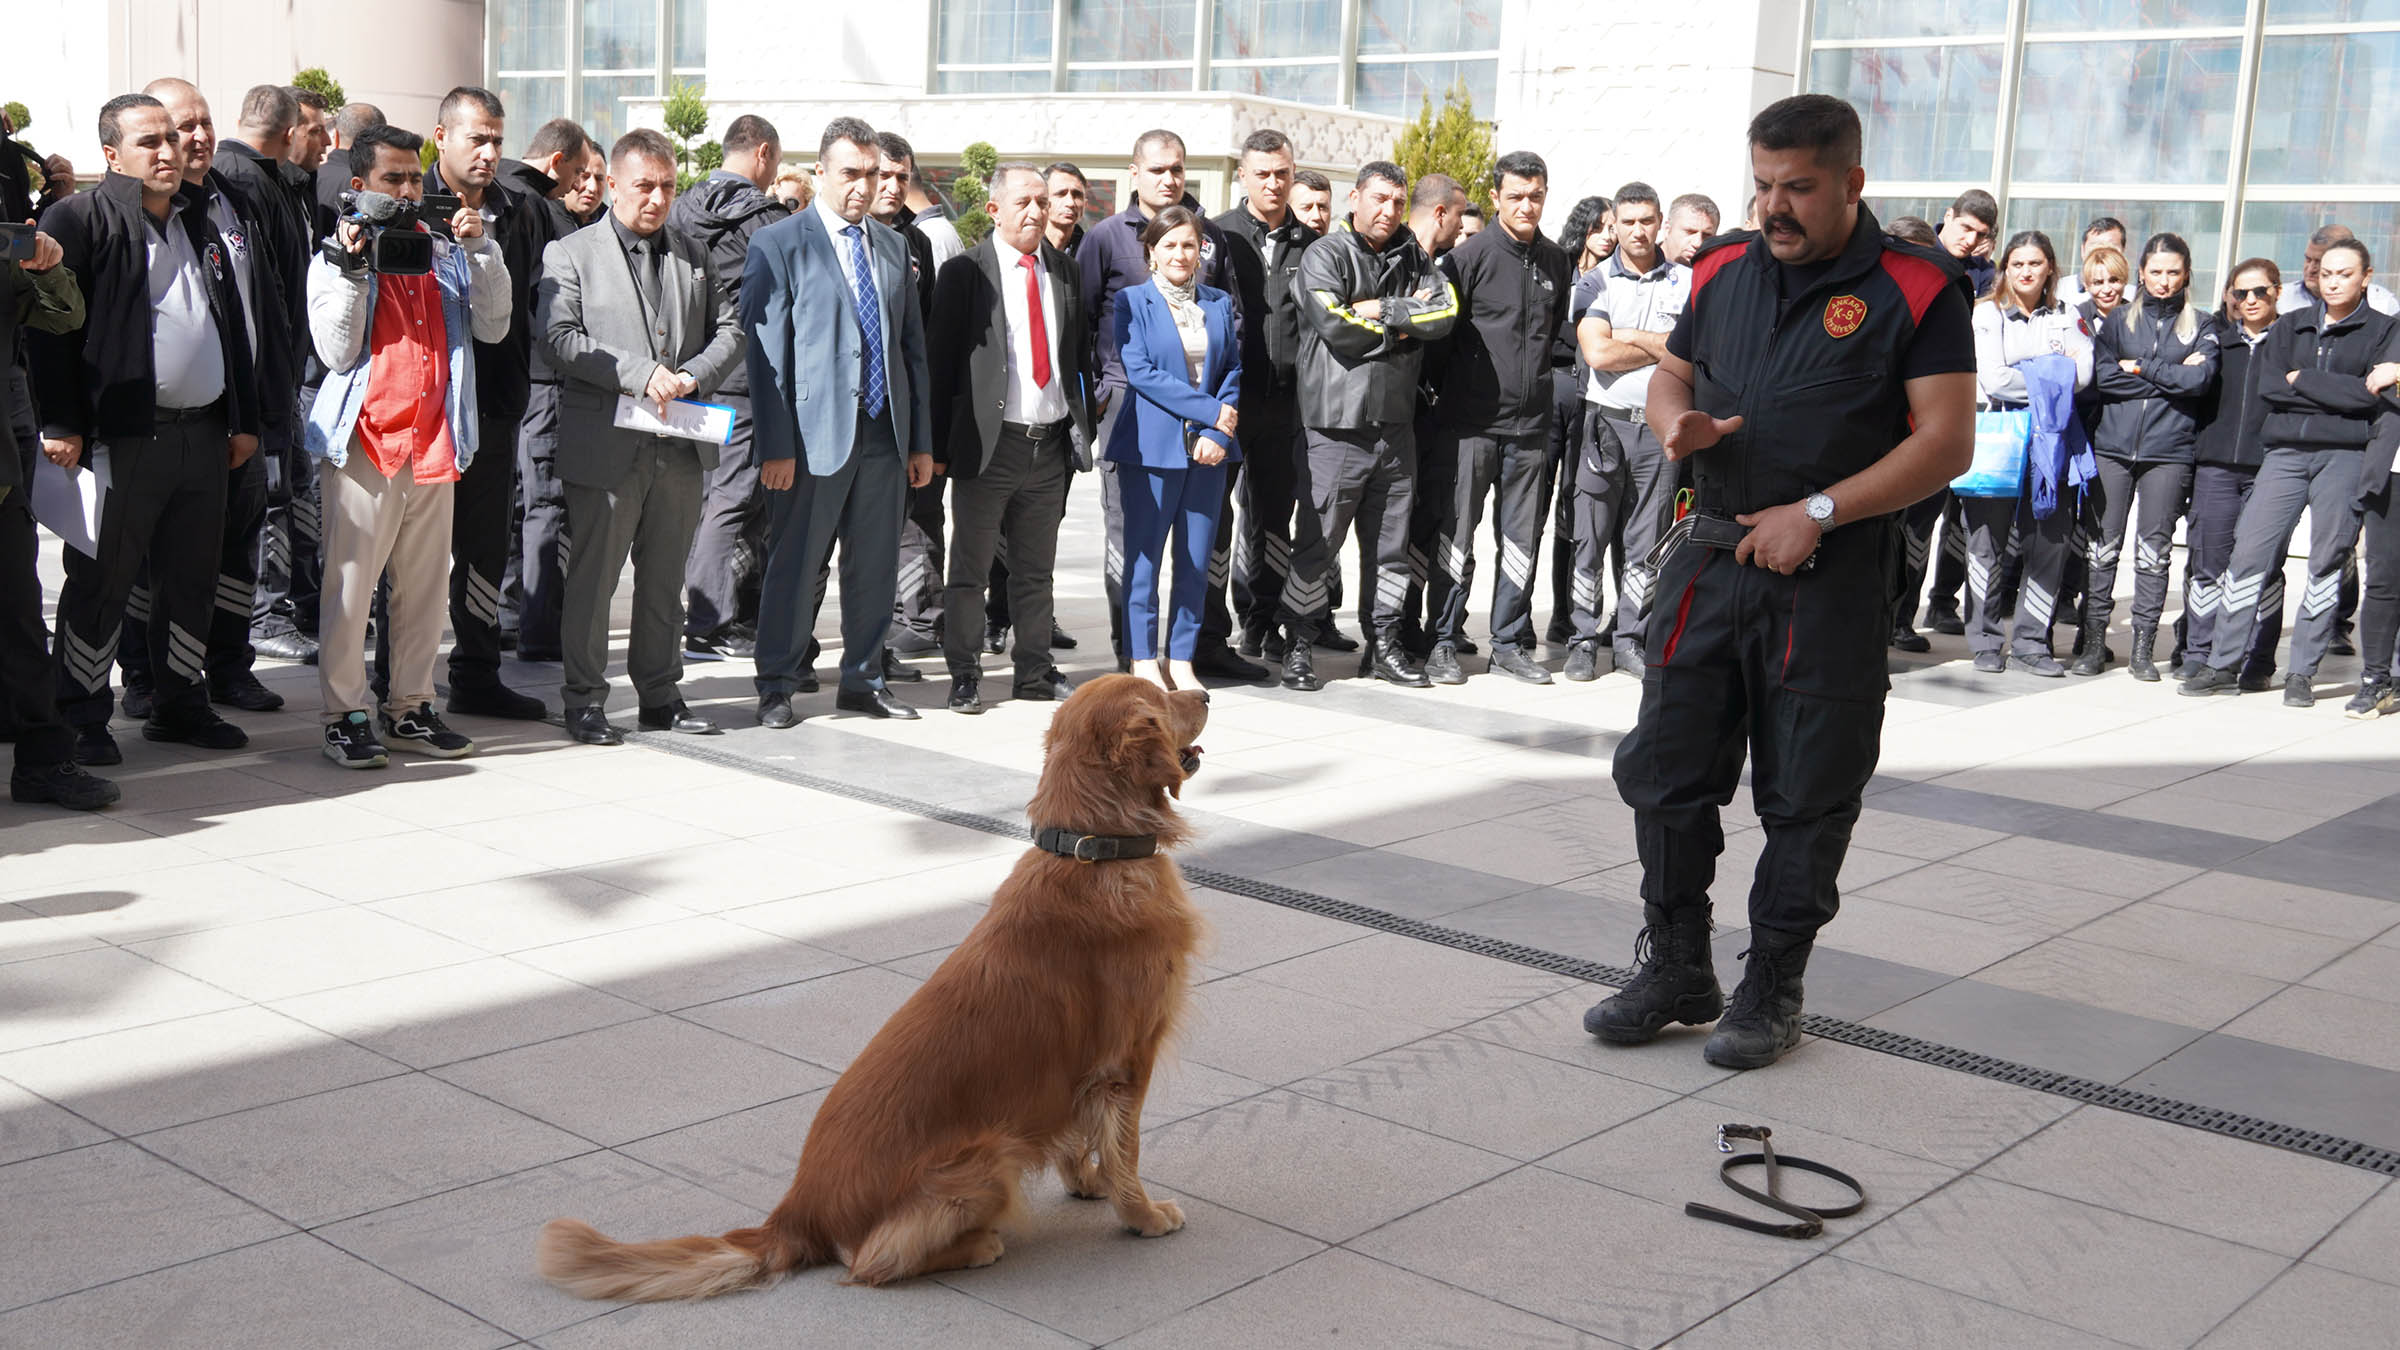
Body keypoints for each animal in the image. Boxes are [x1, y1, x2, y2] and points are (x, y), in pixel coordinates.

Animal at [547, 672, 1219, 1297]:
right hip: (989, 1156)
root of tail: (797, 1212)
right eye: (1161, 697)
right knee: (870, 1261)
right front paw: (1143, 1214)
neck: (1093, 850)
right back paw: (977, 1246)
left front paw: (1088, 1183)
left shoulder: (1084, 1071)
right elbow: (1127, 1149)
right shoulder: (1126, 1061)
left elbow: (1082, 1139)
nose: (1207, 692)